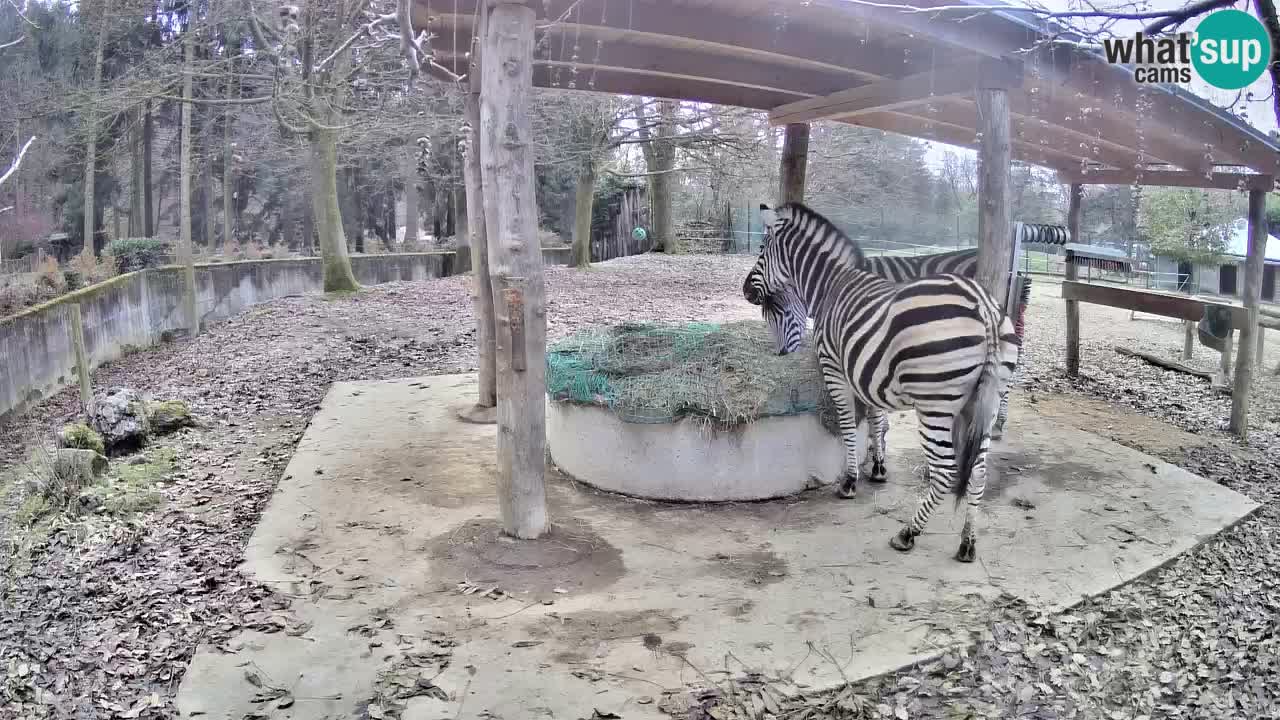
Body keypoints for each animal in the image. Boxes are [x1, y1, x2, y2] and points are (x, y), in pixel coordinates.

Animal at [742, 199, 1018, 561]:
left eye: (761, 249)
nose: (745, 291)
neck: (830, 285)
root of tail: (984, 305)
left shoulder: (835, 368)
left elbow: (848, 425)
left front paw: (850, 481)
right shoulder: (868, 373)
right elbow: (876, 419)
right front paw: (878, 467)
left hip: (935, 404)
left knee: (946, 470)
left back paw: (908, 533)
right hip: (985, 401)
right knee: (979, 471)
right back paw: (968, 542)